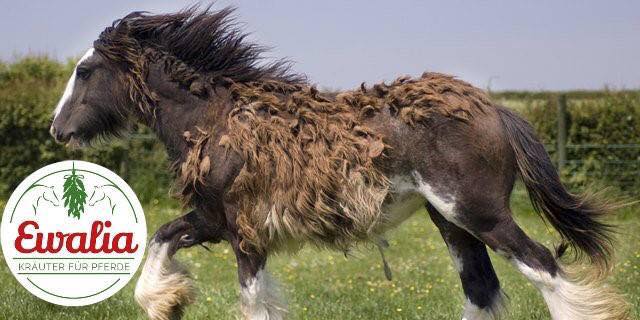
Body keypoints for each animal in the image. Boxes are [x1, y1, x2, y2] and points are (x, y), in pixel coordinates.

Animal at [50, 5, 632, 320]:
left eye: (84, 70)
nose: (58, 129)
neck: (215, 117)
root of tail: (495, 108)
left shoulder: (244, 232)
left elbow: (252, 300)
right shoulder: (215, 220)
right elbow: (162, 236)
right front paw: (166, 300)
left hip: (479, 214)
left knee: (544, 266)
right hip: (451, 222)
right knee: (482, 289)